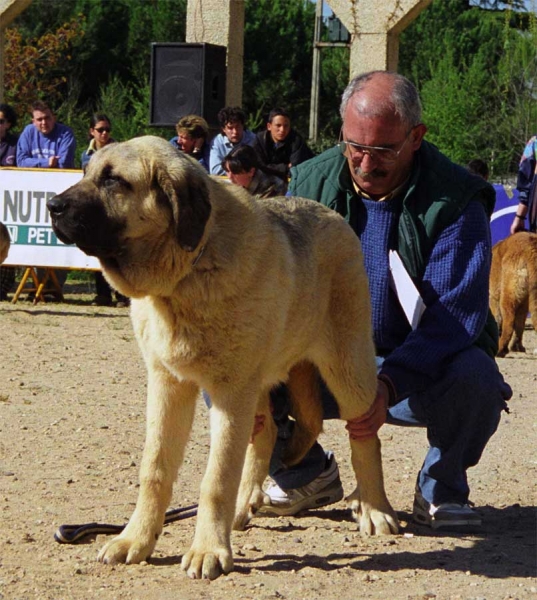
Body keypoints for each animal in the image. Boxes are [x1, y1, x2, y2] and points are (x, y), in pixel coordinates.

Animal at [47, 137, 398, 580]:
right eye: (86, 172)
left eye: (113, 181)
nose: (52, 205)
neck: (185, 274)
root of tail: (334, 215)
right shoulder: (169, 384)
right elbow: (155, 470)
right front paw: (136, 540)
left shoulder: (231, 393)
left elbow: (216, 479)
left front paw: (207, 550)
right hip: (261, 383)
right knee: (267, 433)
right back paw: (244, 504)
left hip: (347, 367)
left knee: (364, 434)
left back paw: (375, 508)